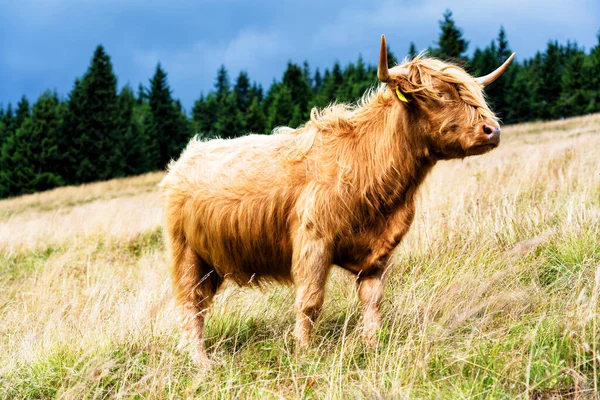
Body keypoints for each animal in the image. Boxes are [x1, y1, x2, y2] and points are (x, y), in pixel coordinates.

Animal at [159, 36, 516, 364]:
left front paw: (371, 344)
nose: (492, 130)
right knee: (191, 306)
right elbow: (310, 302)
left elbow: (372, 300)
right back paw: (201, 362)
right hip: (186, 254)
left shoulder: (378, 251)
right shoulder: (313, 241)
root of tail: (186, 157)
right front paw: (304, 354)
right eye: (437, 95)